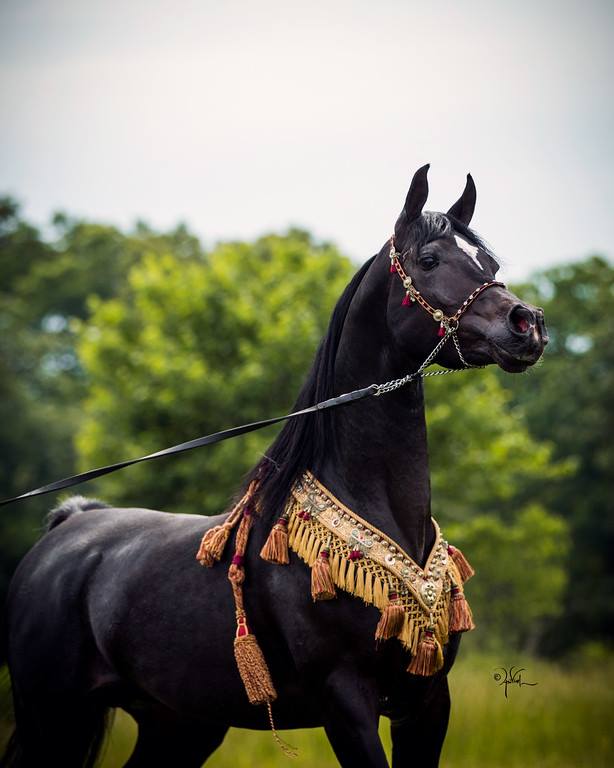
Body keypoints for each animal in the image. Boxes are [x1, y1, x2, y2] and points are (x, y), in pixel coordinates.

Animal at [0, 165, 548, 764]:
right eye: (429, 259)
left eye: (489, 263)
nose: (527, 324)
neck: (372, 504)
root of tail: (70, 526)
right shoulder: (345, 701)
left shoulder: (426, 702)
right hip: (55, 720)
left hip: (178, 725)